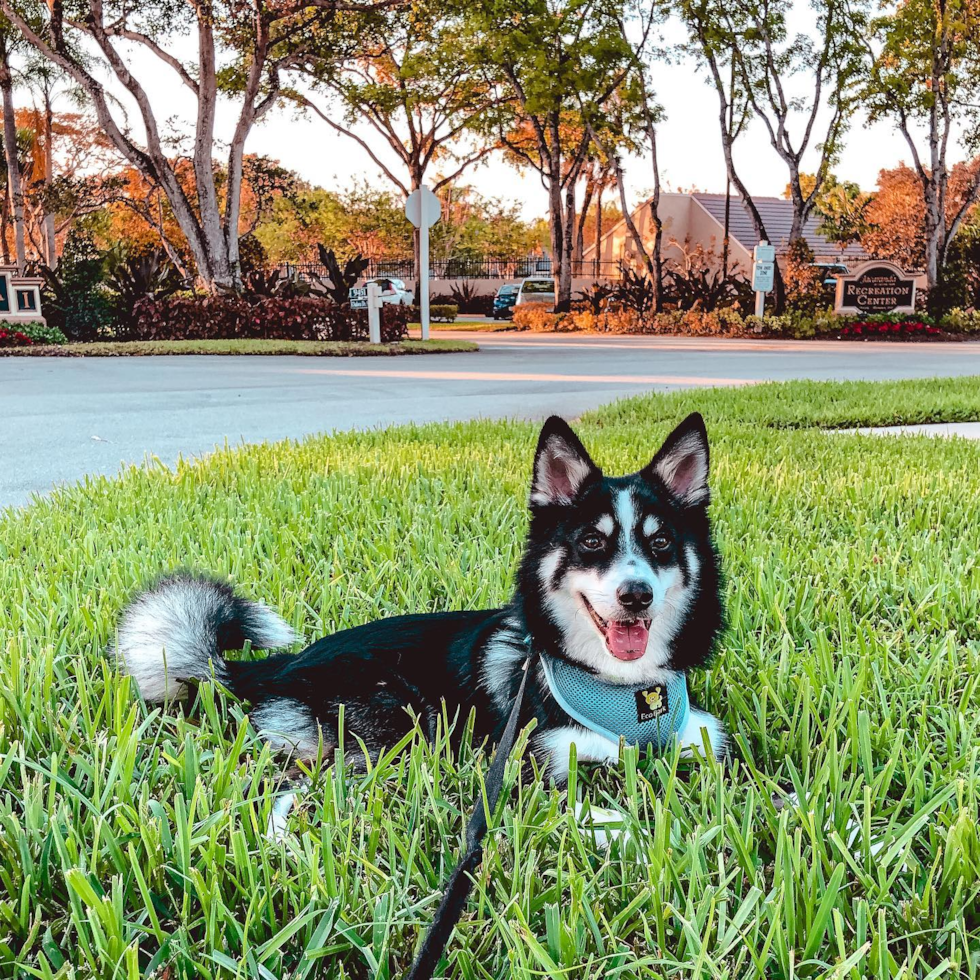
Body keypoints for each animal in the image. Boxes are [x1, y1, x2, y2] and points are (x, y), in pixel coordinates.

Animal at [115, 414, 728, 780]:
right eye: (592, 542)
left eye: (661, 542)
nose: (635, 595)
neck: (624, 691)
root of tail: (268, 668)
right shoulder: (534, 764)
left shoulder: (699, 734)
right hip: (403, 709)